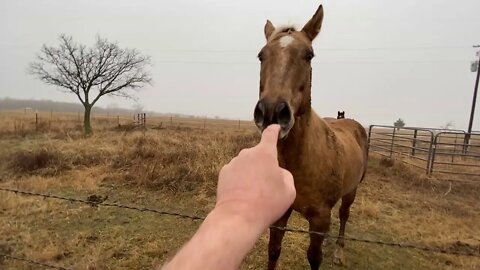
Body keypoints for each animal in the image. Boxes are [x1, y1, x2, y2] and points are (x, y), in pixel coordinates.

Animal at [253, 4, 370, 270]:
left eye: (309, 55)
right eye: (261, 56)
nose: (272, 112)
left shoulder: (318, 219)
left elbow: (314, 258)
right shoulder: (280, 212)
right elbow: (273, 251)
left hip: (351, 192)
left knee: (344, 216)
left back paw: (338, 251)